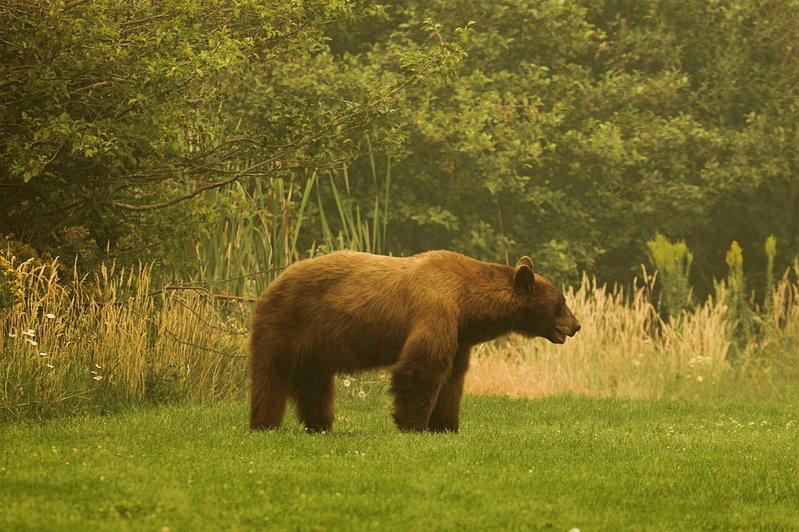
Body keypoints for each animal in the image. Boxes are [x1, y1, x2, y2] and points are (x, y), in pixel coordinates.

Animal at [249, 250, 580, 433]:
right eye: (561, 302)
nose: (576, 326)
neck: (468, 304)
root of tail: (272, 283)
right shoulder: (435, 311)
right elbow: (423, 367)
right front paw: (414, 425)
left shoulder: (459, 335)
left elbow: (453, 377)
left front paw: (446, 425)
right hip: (287, 323)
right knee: (271, 377)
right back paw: (264, 425)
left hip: (317, 345)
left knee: (315, 384)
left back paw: (320, 426)